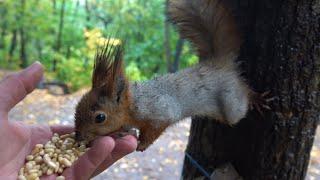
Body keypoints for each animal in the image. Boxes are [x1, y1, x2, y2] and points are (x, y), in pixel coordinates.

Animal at [74, 0, 268, 150]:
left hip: (232, 104)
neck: (134, 104)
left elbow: (154, 130)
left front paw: (141, 144)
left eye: (100, 118)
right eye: (77, 106)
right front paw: (119, 132)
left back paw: (256, 98)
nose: (78, 138)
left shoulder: (160, 113)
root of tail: (220, 64)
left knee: (242, 97)